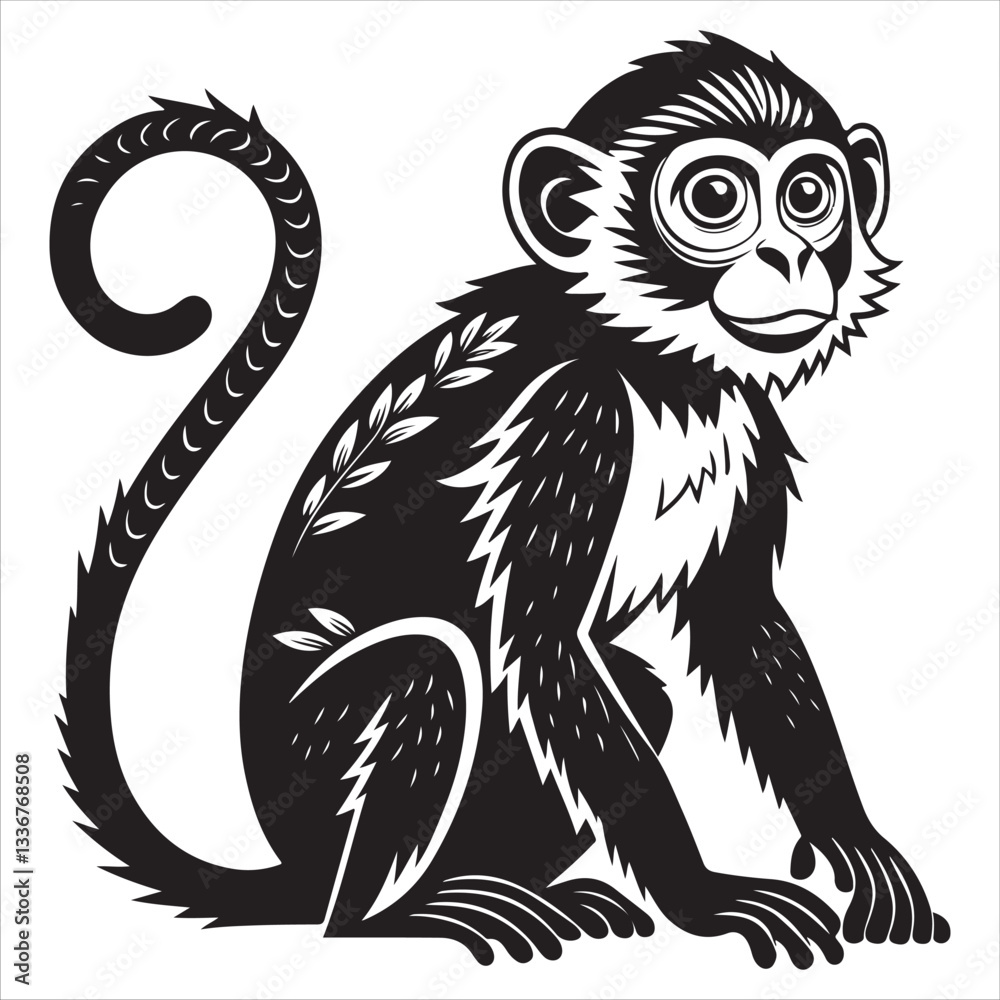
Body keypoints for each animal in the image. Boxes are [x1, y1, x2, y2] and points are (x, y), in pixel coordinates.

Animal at [53, 35, 950, 969]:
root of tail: (290, 863)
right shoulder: (569, 415)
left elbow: (737, 620)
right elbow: (547, 647)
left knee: (638, 692)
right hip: (307, 764)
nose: (791, 258)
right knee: (426, 669)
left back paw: (507, 888)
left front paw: (850, 836)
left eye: (810, 196)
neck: (652, 364)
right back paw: (398, 914)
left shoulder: (744, 419)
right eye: (715, 199)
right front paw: (703, 899)